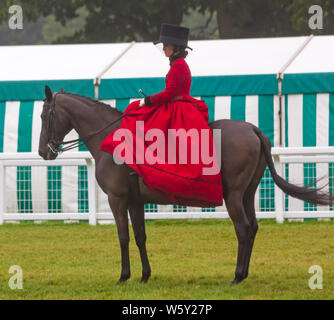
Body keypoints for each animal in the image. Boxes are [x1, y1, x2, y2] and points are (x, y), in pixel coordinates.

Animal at [38, 85, 332, 284]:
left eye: (43, 116)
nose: (43, 152)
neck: (112, 139)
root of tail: (252, 129)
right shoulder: (135, 201)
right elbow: (140, 236)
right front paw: (144, 275)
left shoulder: (117, 200)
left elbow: (123, 237)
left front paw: (124, 275)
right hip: (248, 194)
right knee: (253, 228)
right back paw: (244, 273)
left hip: (233, 196)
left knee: (243, 228)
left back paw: (237, 275)